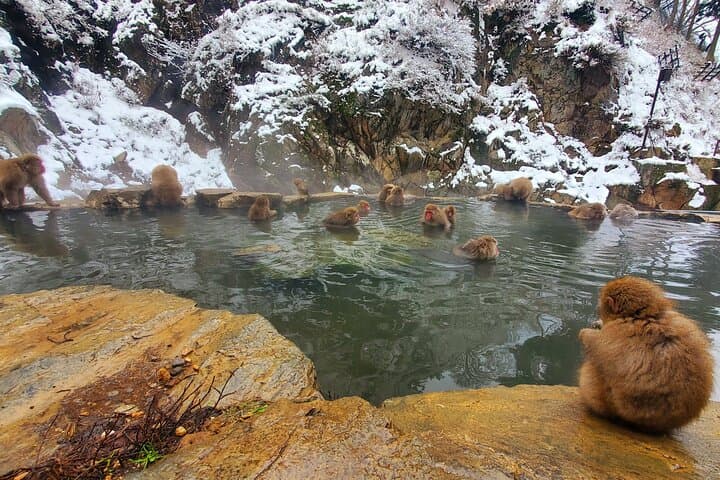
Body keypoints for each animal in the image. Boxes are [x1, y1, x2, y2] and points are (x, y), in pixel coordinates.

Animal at [578, 276, 713, 433]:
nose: (598, 311)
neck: (645, 316)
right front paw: (598, 325)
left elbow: (595, 344)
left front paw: (586, 333)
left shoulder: (616, 331)